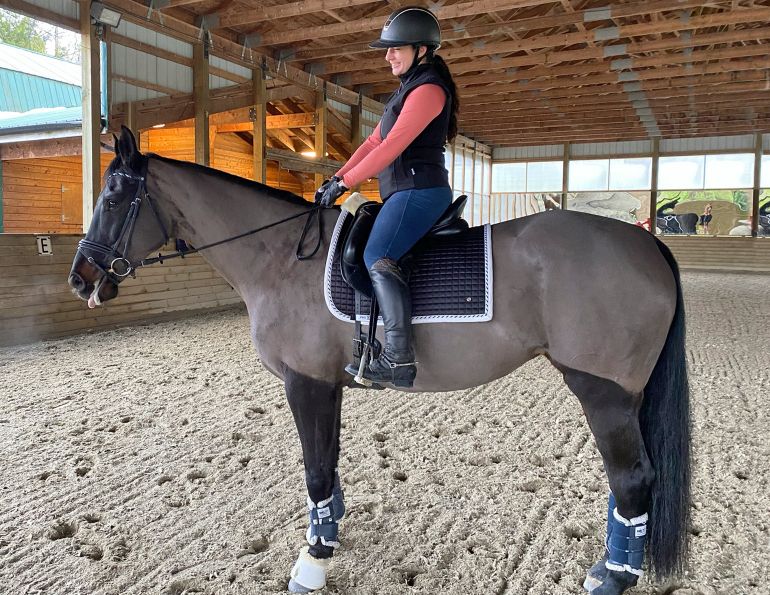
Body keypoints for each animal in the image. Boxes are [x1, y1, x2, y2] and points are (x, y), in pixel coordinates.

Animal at [68, 127, 690, 594]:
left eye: (113, 198)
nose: (81, 278)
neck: (279, 258)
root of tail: (645, 243)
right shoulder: (328, 383)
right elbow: (329, 463)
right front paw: (329, 530)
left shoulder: (305, 382)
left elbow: (315, 468)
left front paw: (313, 560)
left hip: (602, 391)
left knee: (632, 479)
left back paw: (612, 578)